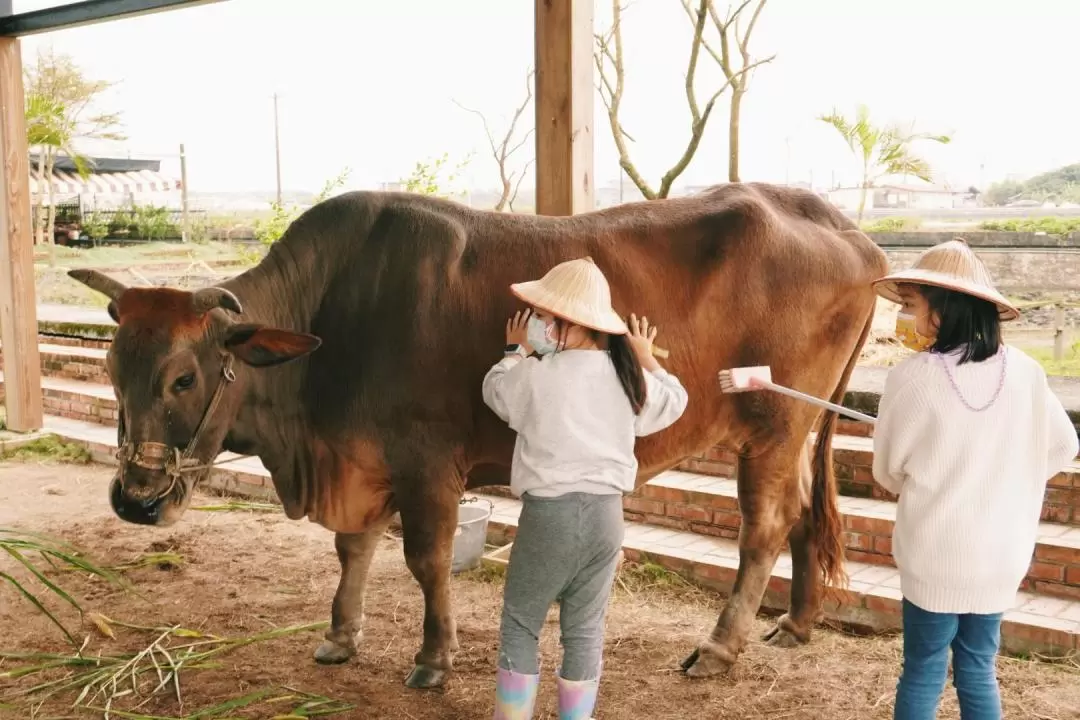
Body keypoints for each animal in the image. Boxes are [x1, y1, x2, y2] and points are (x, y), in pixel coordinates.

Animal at [69, 180, 885, 686]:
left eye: (184, 378)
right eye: (111, 367)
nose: (135, 499)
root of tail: (845, 229)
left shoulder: (427, 462)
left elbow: (425, 560)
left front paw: (434, 657)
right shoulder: (363, 459)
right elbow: (353, 550)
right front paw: (340, 636)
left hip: (775, 424)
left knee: (766, 524)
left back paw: (718, 646)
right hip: (803, 426)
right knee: (807, 509)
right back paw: (798, 624)